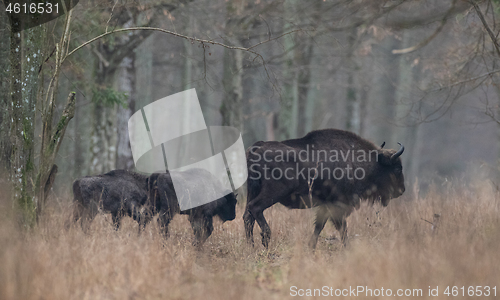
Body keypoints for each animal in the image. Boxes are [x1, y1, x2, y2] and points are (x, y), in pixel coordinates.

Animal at [244, 129, 404, 248]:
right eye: (397, 168)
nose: (401, 190)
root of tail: (257, 148)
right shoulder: (338, 204)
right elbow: (342, 228)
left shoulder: (326, 205)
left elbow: (319, 226)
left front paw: (311, 247)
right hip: (273, 193)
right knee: (255, 208)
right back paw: (265, 240)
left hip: (252, 191)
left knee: (247, 217)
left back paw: (251, 247)